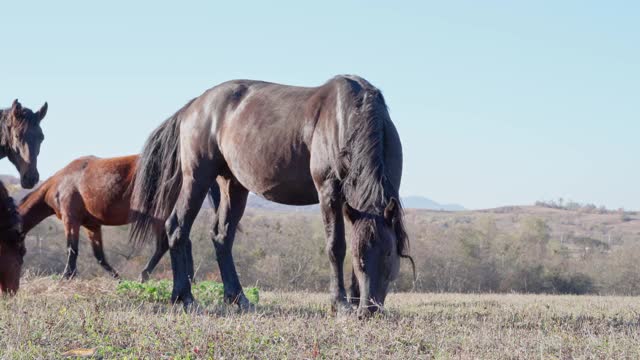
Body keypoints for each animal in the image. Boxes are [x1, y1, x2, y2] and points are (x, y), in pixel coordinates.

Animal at [129, 74, 416, 316]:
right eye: (361, 258)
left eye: (388, 254)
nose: (369, 309)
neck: (348, 118)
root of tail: (193, 106)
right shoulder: (329, 192)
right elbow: (336, 246)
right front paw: (341, 303)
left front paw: (353, 301)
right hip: (197, 178)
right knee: (178, 227)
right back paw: (184, 298)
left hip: (233, 185)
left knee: (222, 238)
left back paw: (238, 299)